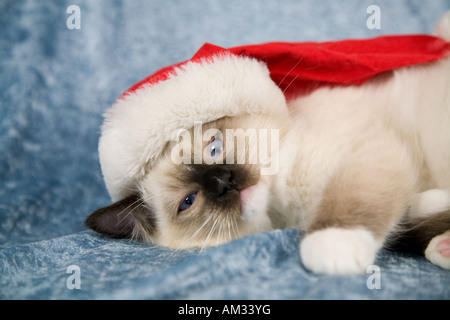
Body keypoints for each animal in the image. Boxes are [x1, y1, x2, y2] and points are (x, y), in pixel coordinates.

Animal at [85, 25, 450, 276]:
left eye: (214, 148)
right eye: (188, 202)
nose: (224, 181)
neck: (285, 210)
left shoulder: (368, 153)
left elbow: (354, 202)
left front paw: (332, 246)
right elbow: (411, 217)